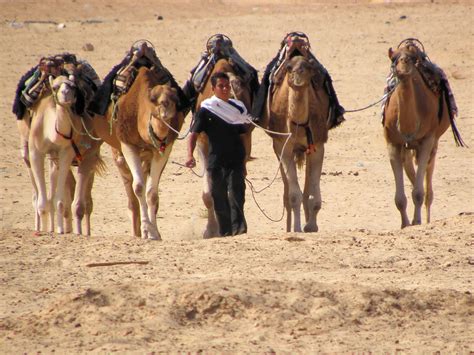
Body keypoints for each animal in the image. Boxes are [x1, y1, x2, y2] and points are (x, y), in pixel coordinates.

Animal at [91, 65, 184, 241]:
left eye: (175, 98)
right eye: (154, 99)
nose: (167, 107)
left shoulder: (163, 149)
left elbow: (152, 193)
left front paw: (154, 233)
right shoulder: (128, 145)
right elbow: (139, 187)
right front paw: (147, 230)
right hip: (118, 152)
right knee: (130, 188)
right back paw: (136, 231)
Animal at [262, 55, 332, 234]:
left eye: (308, 66)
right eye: (288, 67)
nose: (298, 75)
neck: (299, 125)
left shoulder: (318, 146)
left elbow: (313, 194)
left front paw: (311, 226)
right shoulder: (283, 147)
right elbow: (294, 195)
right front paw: (297, 228)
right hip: (278, 148)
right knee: (287, 190)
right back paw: (288, 227)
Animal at [382, 43, 462, 228]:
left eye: (413, 59)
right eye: (393, 59)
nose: (403, 68)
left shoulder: (427, 140)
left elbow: (419, 192)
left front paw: (417, 221)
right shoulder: (392, 142)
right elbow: (399, 198)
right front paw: (405, 224)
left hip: (434, 141)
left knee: (428, 172)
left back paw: (426, 217)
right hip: (408, 148)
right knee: (410, 167)